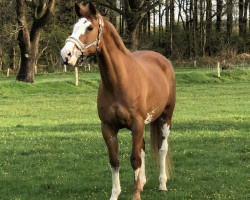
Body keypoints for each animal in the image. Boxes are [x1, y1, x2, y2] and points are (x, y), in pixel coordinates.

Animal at [60, 1, 176, 200]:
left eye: (90, 27)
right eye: (74, 26)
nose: (65, 55)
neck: (119, 81)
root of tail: (163, 60)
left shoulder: (137, 124)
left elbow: (135, 159)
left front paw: (135, 195)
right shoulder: (108, 127)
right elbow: (114, 161)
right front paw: (116, 194)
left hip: (165, 117)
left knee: (162, 147)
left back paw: (162, 184)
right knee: (143, 148)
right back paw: (142, 183)